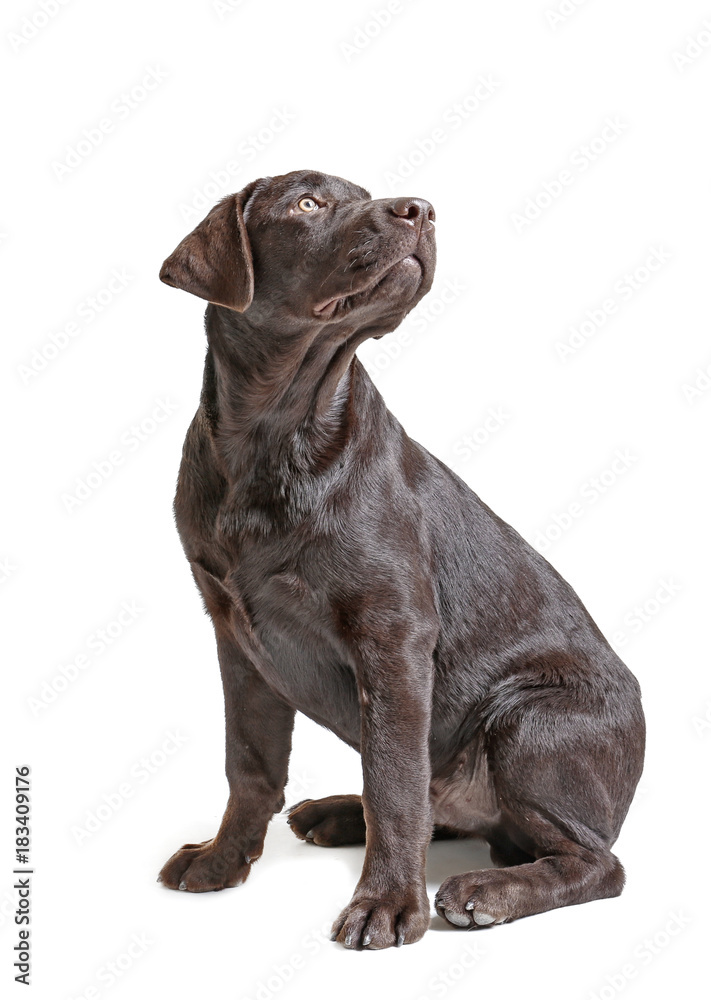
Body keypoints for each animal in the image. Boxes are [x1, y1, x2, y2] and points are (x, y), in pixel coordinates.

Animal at [159, 172, 648, 952]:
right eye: (307, 203)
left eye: (360, 192)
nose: (420, 209)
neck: (275, 432)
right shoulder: (233, 634)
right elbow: (251, 765)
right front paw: (221, 860)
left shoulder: (392, 632)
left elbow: (393, 782)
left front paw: (387, 905)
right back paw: (335, 813)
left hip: (527, 720)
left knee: (595, 860)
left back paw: (487, 891)